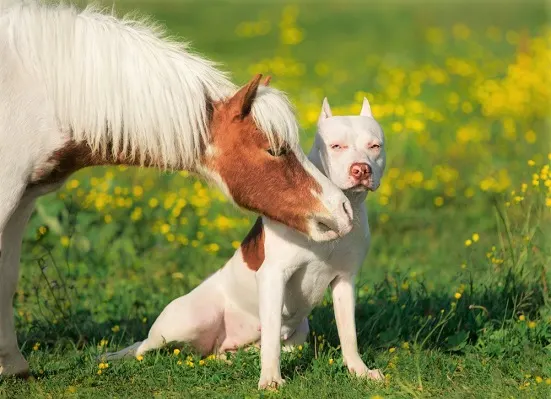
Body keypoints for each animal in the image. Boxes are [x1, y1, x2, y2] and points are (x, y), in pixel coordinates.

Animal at [0, 0, 354, 376]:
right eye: (275, 149)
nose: (343, 210)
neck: (41, 94)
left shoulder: (24, 199)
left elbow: (7, 277)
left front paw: (13, 366)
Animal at [104, 97, 388, 390]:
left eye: (375, 146)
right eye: (336, 146)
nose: (361, 169)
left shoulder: (344, 280)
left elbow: (348, 333)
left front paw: (359, 371)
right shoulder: (274, 276)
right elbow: (272, 335)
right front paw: (271, 380)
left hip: (293, 334)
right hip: (188, 320)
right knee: (144, 345)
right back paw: (114, 356)